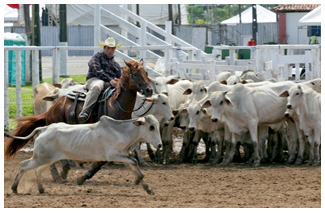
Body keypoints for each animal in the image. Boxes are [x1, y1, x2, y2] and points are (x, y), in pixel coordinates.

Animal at [4, 59, 152, 185]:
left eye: (146, 73)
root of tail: (53, 107)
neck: (116, 104)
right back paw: (59, 174)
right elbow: (102, 161)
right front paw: (83, 176)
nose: (149, 90)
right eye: (135, 74)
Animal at [5, 115, 161, 195]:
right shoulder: (112, 155)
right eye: (151, 127)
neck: (121, 131)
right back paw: (14, 188)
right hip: (40, 158)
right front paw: (139, 181)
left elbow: (133, 165)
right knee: (23, 165)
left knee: (37, 170)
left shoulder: (122, 155)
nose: (159, 145)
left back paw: (41, 189)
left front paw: (147, 187)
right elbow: (134, 161)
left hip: (47, 159)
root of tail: (44, 128)